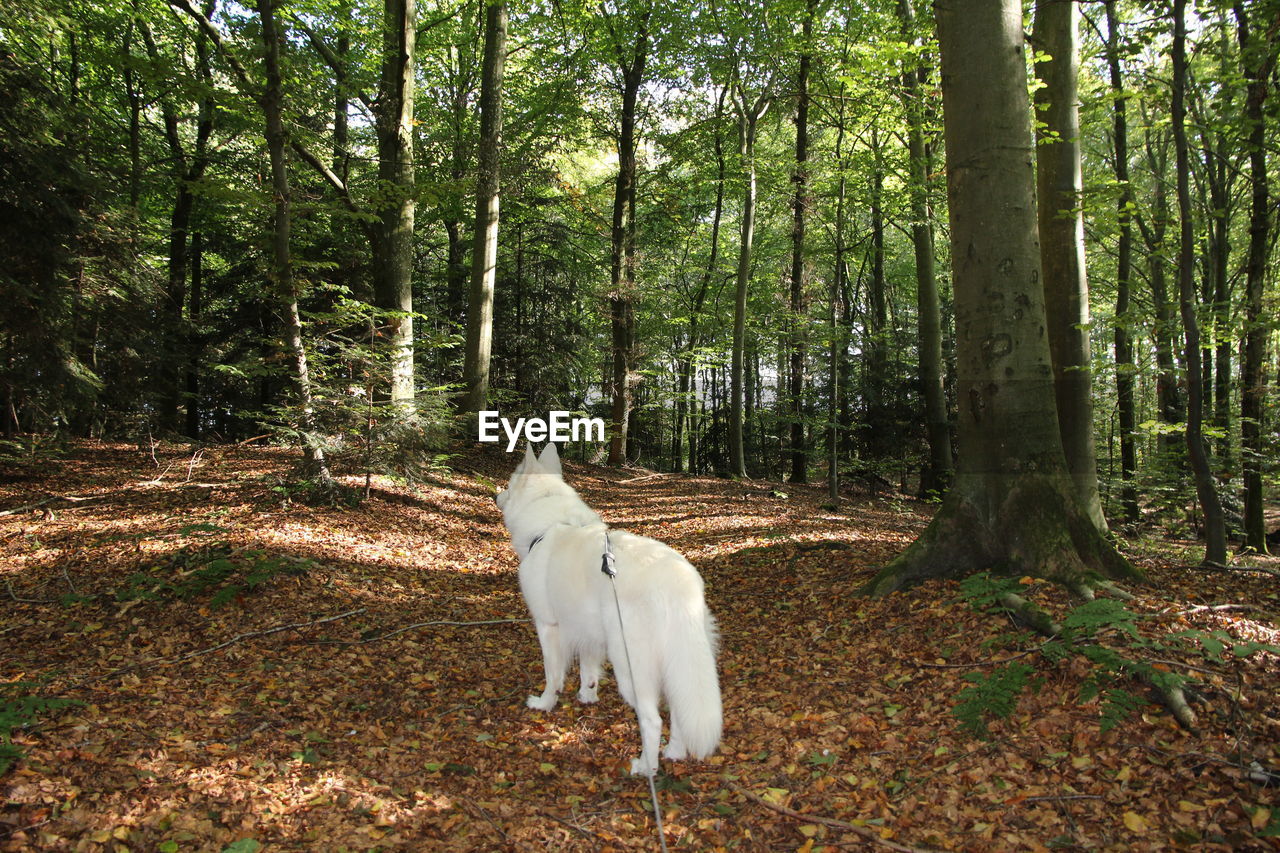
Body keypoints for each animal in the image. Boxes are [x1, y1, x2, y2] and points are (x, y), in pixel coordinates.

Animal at [496, 440, 721, 773]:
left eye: (510, 485)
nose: (495, 496)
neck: (551, 525)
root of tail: (676, 582)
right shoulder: (589, 630)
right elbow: (588, 668)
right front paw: (587, 695)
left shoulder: (548, 626)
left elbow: (553, 674)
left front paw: (545, 703)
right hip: (676, 663)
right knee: (678, 711)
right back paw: (674, 752)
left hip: (630, 666)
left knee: (652, 720)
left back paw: (646, 766)